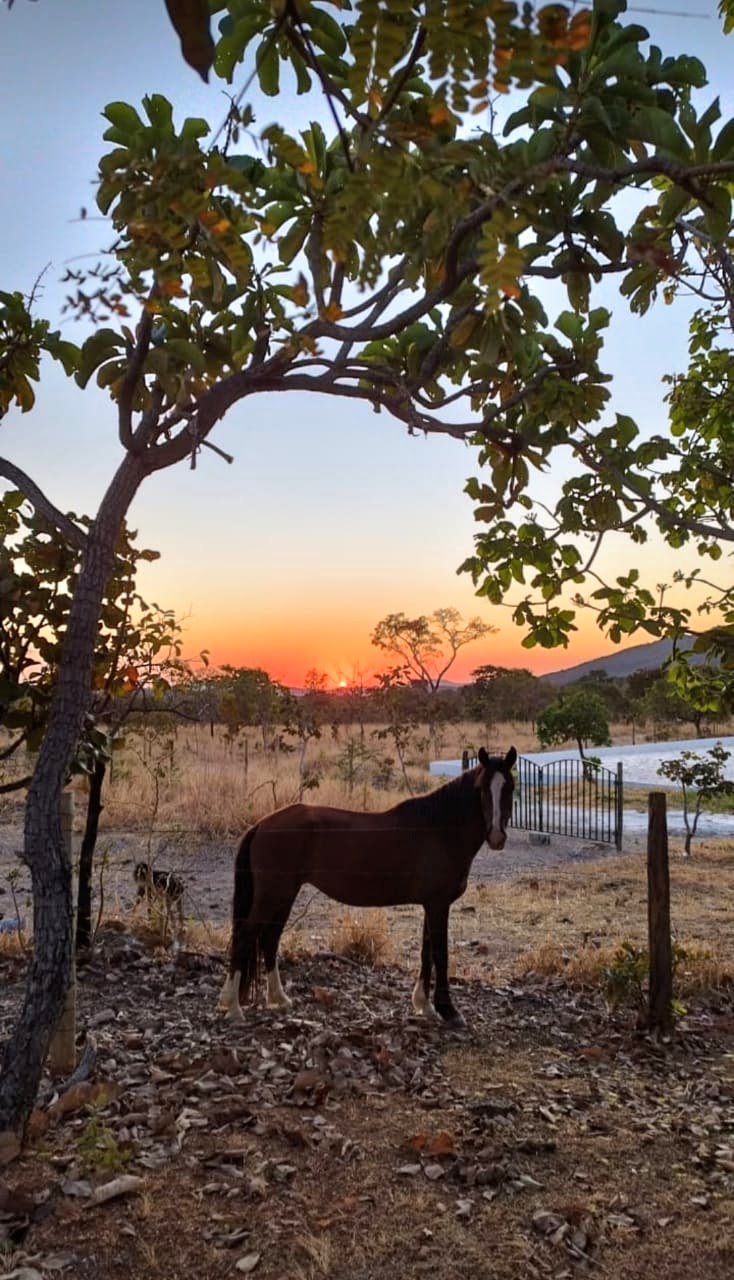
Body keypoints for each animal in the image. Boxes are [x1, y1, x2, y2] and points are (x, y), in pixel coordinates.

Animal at [219, 746, 516, 1027]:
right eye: (482, 789)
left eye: (510, 787)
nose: (497, 837)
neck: (440, 829)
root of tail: (261, 824)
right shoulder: (438, 905)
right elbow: (440, 955)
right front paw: (449, 1011)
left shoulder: (430, 905)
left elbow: (426, 953)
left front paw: (424, 1005)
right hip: (272, 896)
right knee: (245, 937)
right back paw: (233, 1008)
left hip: (283, 895)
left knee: (270, 939)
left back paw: (278, 999)